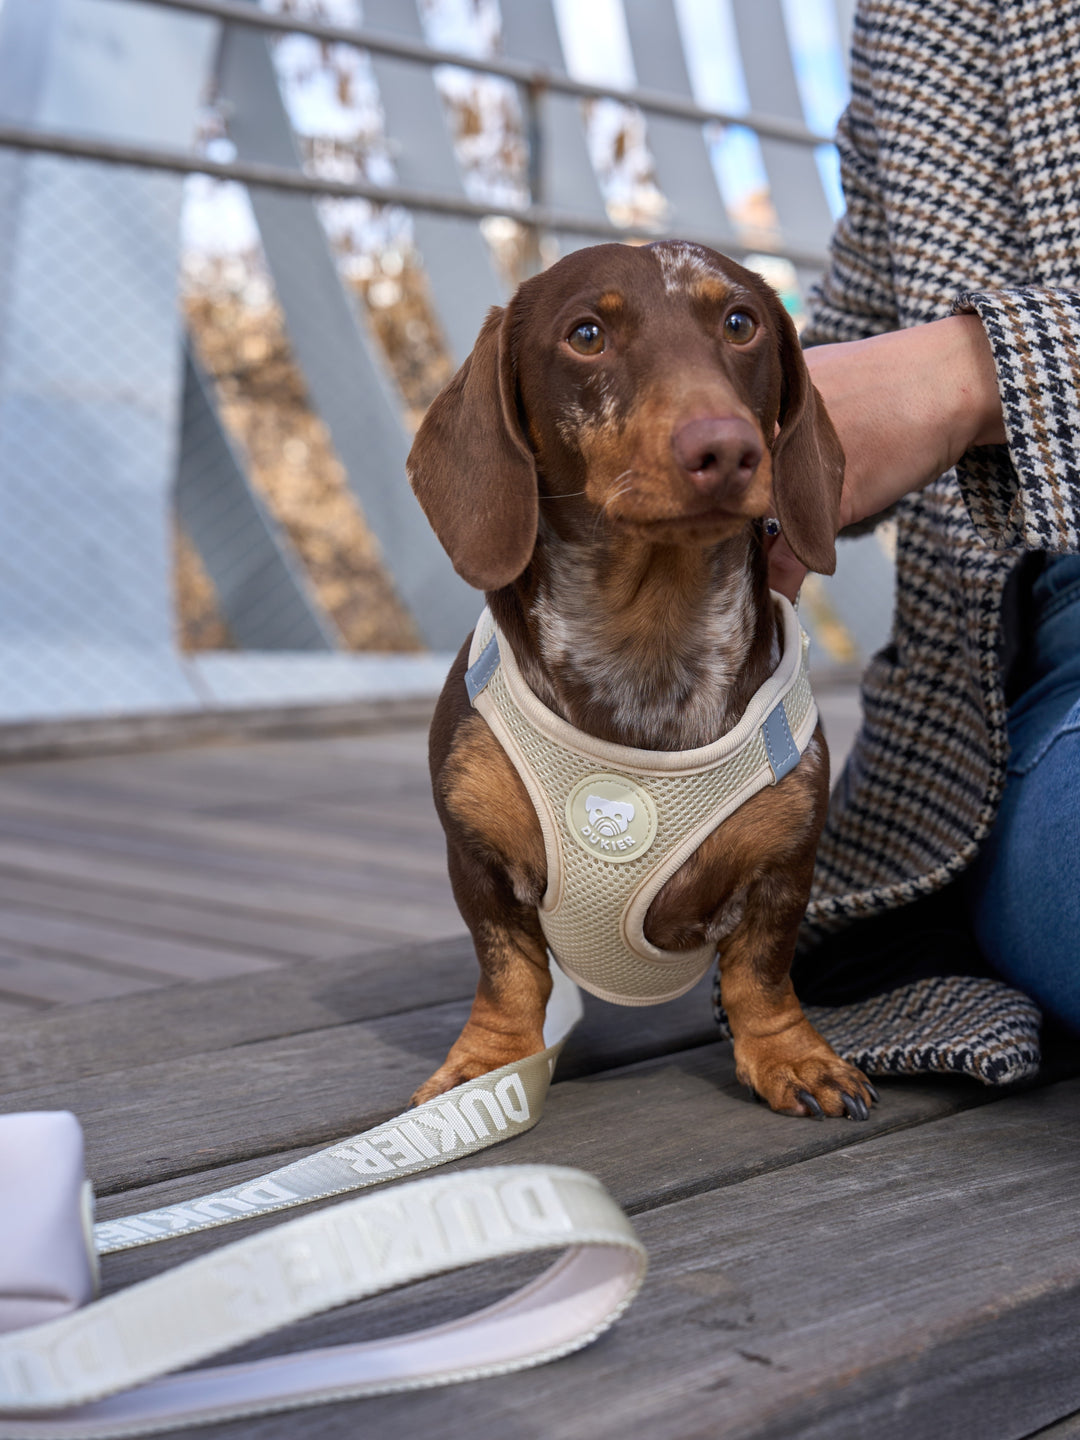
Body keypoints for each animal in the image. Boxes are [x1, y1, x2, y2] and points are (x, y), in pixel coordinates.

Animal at [408, 241, 881, 1117]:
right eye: (586, 334)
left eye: (741, 322)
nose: (724, 449)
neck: (649, 642)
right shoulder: (477, 859)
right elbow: (507, 972)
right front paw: (489, 1066)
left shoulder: (785, 865)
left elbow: (762, 971)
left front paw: (791, 1055)